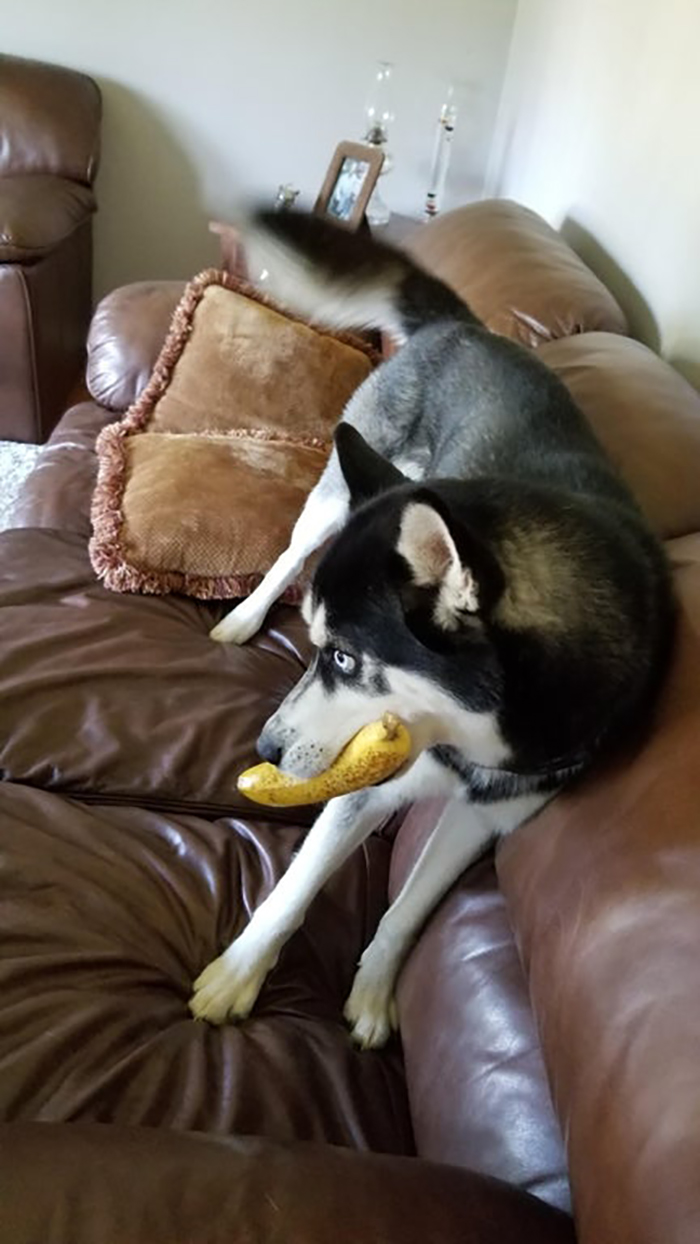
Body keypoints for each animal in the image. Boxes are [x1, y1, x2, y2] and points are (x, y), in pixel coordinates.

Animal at [187, 208, 671, 1044]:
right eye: (323, 651)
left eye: (345, 659)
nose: (266, 749)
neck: (482, 732)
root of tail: (465, 327)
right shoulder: (366, 786)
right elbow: (293, 891)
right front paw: (236, 976)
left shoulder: (491, 814)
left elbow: (411, 908)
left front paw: (376, 986)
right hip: (345, 486)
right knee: (290, 553)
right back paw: (245, 616)